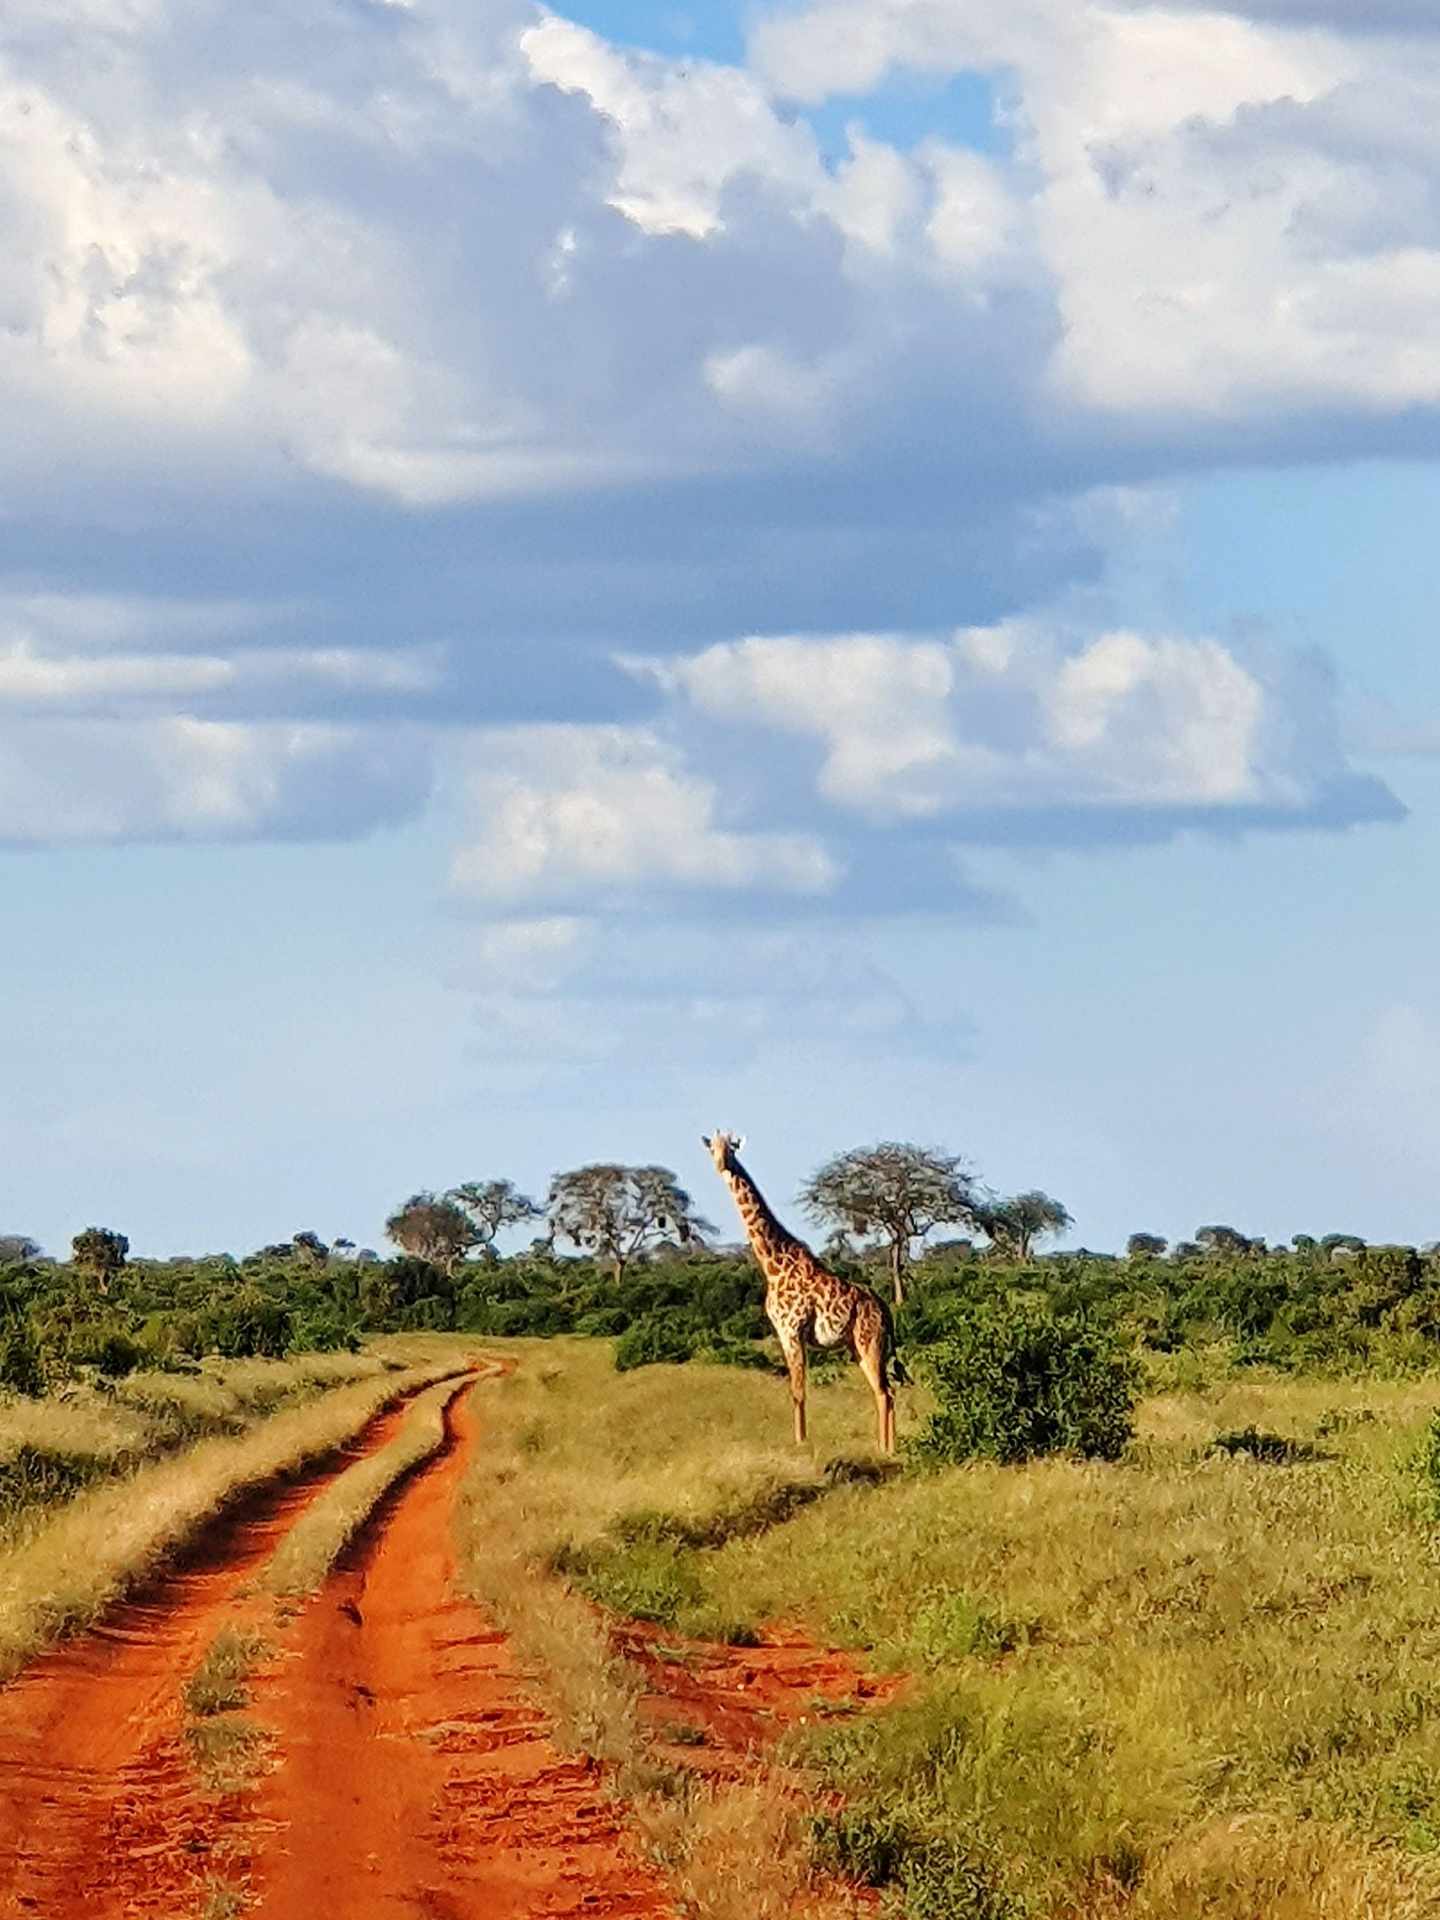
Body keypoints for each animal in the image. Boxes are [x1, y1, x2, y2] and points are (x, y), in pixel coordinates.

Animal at [703, 1130, 901, 1454]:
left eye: (731, 1149)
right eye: (712, 1149)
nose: (721, 1165)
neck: (773, 1265)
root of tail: (884, 1309)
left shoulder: (792, 1329)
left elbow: (798, 1391)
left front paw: (800, 1443)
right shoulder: (783, 1334)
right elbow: (795, 1391)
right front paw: (800, 1440)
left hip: (870, 1341)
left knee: (885, 1393)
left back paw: (885, 1450)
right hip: (860, 1345)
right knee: (886, 1391)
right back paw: (885, 1447)